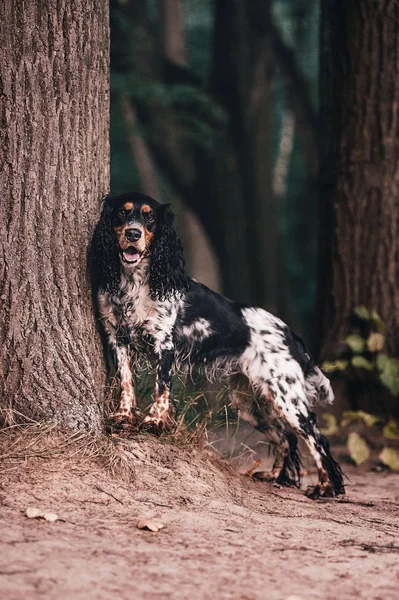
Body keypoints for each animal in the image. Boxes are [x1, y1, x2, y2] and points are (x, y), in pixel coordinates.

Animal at [90, 193, 344, 502]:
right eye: (121, 213)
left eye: (149, 217)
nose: (133, 234)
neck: (134, 283)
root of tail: (289, 333)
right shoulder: (118, 338)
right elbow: (125, 382)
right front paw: (124, 416)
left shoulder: (164, 343)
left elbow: (161, 388)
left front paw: (153, 421)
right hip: (249, 405)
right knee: (287, 437)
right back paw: (275, 476)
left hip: (287, 397)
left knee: (316, 437)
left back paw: (325, 487)